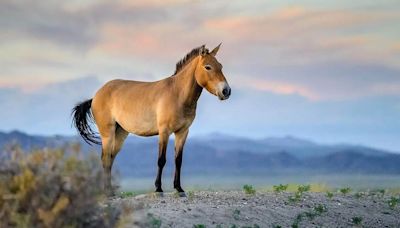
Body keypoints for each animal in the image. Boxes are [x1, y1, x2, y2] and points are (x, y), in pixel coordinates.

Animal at [70, 44, 230, 194]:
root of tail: (96, 96)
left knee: (111, 158)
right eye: (207, 67)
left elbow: (178, 160)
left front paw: (178, 188)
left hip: (120, 132)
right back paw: (107, 192)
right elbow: (161, 160)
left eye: (220, 66)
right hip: (107, 133)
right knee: (105, 158)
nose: (226, 91)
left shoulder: (183, 132)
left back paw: (110, 191)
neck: (177, 94)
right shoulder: (164, 131)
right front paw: (158, 188)